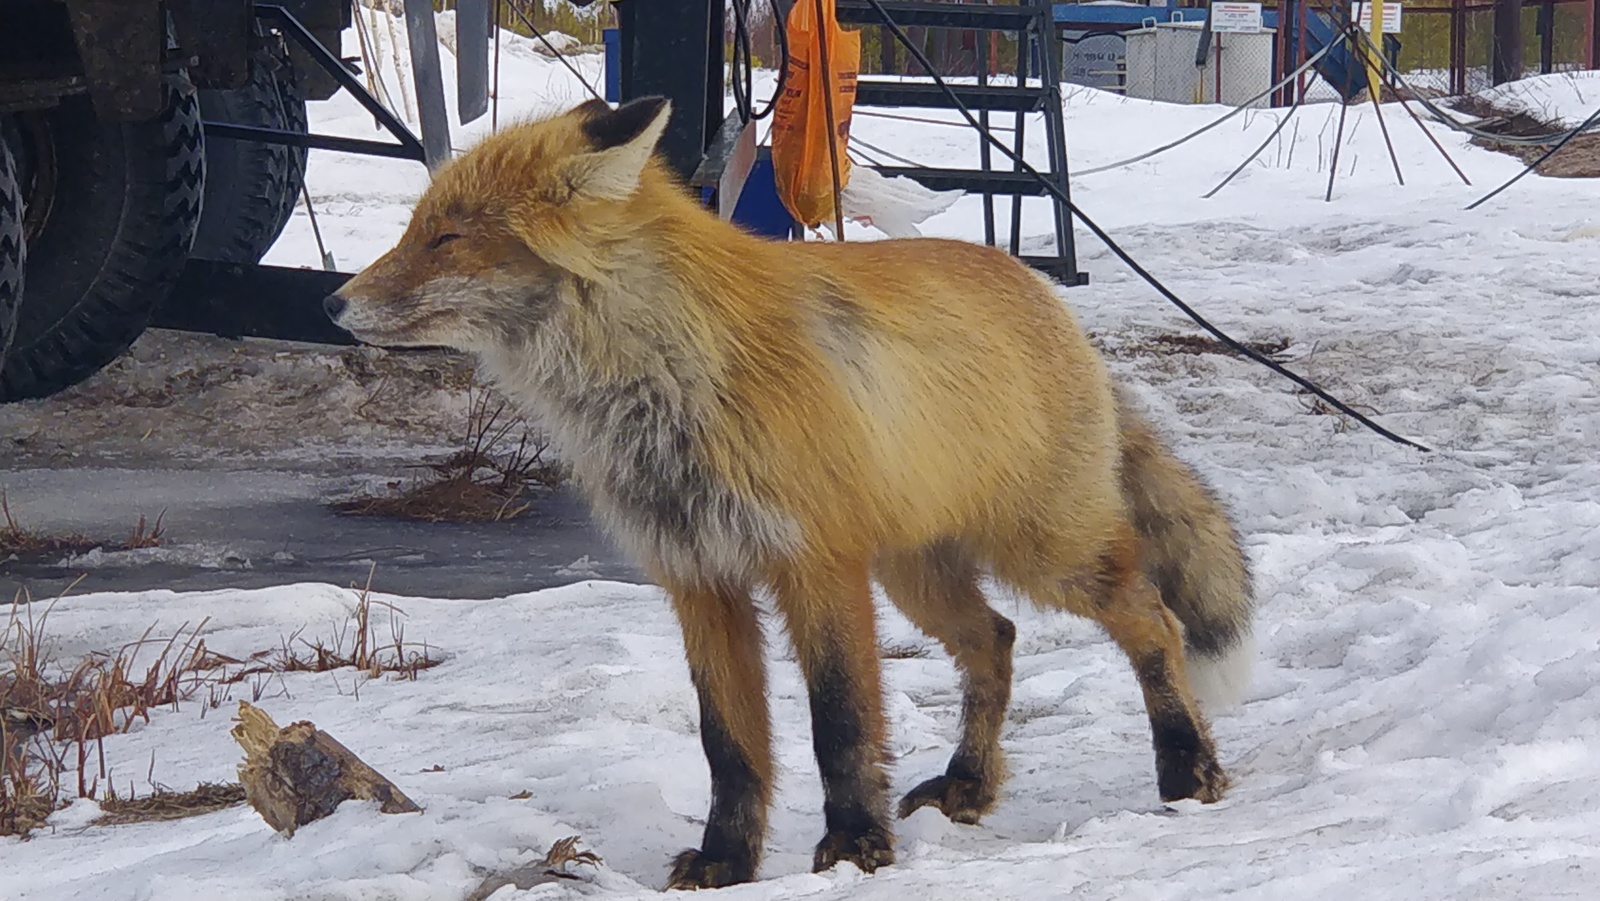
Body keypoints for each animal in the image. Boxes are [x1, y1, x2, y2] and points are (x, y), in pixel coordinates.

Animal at [324, 96, 1254, 889]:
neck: (670, 388)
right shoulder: (698, 576)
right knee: (996, 638)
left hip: (1046, 552)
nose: (332, 302)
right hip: (917, 576)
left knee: (1152, 620)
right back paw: (968, 785)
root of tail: (1049, 300)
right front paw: (726, 859)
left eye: (446, 238)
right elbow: (729, 742)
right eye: (417, 229)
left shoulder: (817, 563)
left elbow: (839, 722)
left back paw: (1187, 765)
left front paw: (853, 846)